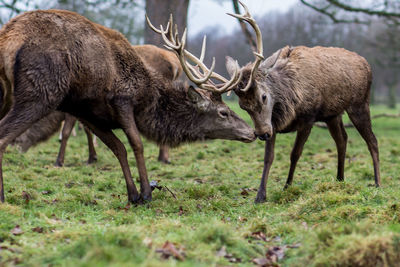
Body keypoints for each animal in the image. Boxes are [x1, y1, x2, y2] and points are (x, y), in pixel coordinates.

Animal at [0, 9, 255, 204]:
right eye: (224, 112)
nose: (252, 132)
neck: (148, 99)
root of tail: (10, 40)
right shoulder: (121, 99)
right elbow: (136, 144)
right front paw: (146, 193)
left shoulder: (86, 112)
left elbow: (118, 148)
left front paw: (132, 194)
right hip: (41, 92)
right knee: (3, 137)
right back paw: (3, 196)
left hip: (7, 95)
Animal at [149, 0, 382, 204]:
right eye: (243, 106)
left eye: (263, 96)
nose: (261, 133)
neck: (290, 100)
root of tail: (367, 64)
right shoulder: (274, 125)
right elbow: (268, 158)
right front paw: (260, 195)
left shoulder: (308, 117)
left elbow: (295, 154)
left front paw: (287, 186)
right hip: (333, 114)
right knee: (342, 139)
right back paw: (340, 179)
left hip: (359, 103)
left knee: (372, 140)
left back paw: (378, 183)